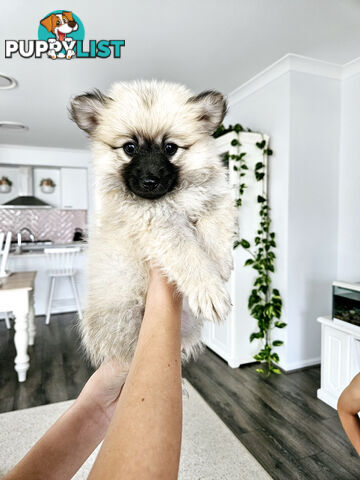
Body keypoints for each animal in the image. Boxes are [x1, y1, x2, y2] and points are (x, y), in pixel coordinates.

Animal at [70, 81, 235, 368]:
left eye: (170, 148)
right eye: (129, 148)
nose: (150, 181)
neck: (174, 195)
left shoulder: (215, 198)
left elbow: (216, 226)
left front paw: (220, 264)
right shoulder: (160, 227)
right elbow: (190, 255)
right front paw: (209, 289)